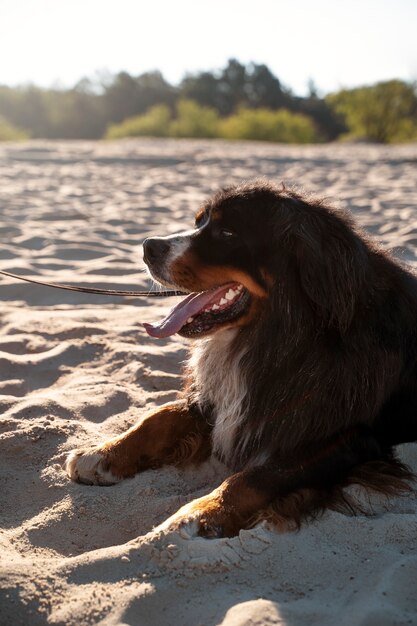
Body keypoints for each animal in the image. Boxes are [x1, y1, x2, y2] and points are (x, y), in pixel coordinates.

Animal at [65, 179, 412, 536]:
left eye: (228, 233)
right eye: (199, 222)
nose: (149, 246)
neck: (277, 335)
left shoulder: (349, 437)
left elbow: (260, 476)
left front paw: (202, 512)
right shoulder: (222, 401)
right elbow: (159, 417)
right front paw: (103, 453)